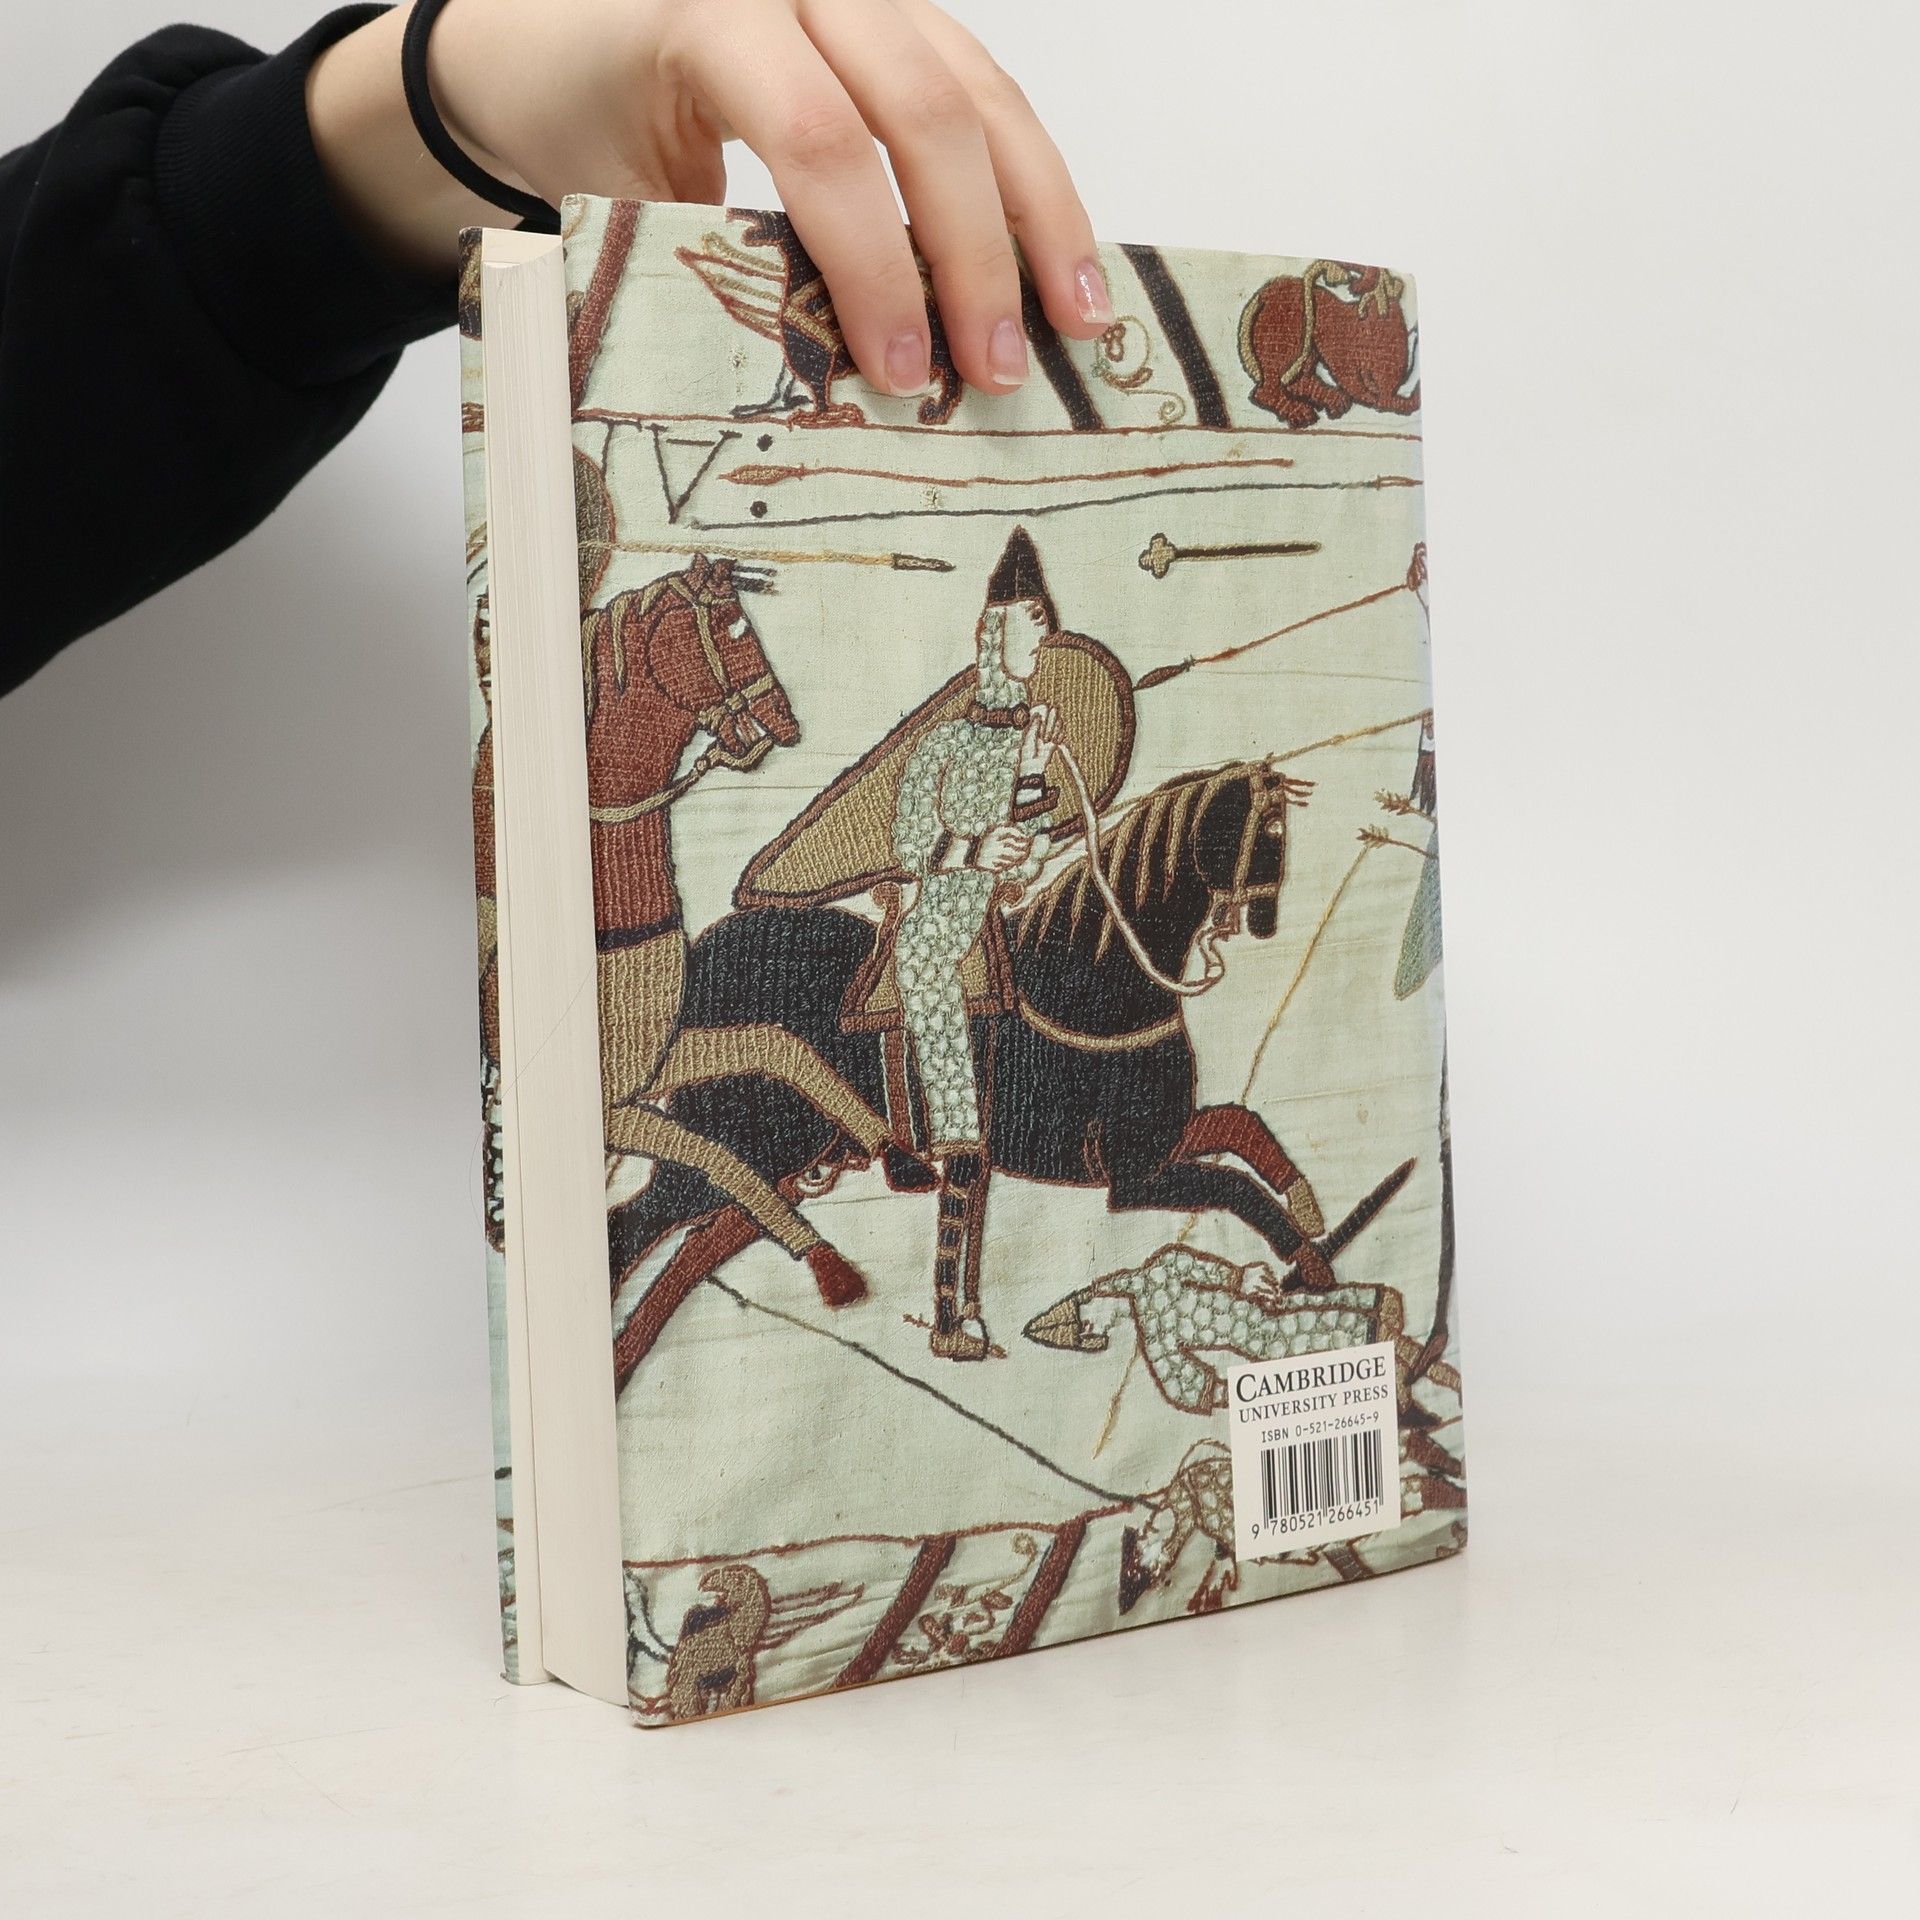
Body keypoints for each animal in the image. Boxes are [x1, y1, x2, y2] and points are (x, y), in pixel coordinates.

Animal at [606, 759, 1341, 1383]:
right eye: (1268, 831)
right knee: (636, 1224)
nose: (1265, 919)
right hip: (748, 1143)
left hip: (783, 1160)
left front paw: (1307, 1213)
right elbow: (1233, 1187)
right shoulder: (1131, 1178)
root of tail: (698, 964)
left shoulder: (1150, 1148)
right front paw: (1307, 1259)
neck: (1090, 984)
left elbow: (1240, 1127)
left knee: (697, 1243)